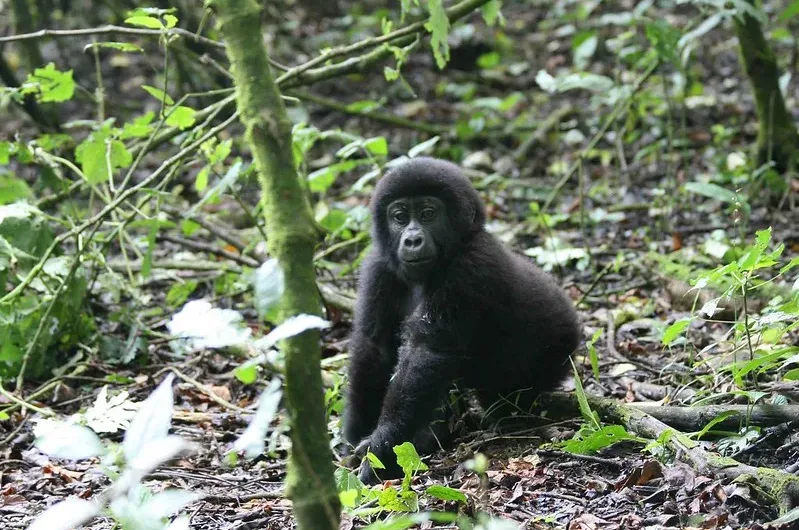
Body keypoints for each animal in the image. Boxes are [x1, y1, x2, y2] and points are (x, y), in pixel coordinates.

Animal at [344, 155, 580, 480]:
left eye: (428, 214)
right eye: (400, 216)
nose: (412, 239)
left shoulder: (469, 267)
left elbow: (426, 352)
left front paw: (382, 448)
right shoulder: (379, 265)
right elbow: (374, 346)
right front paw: (356, 432)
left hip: (556, 348)